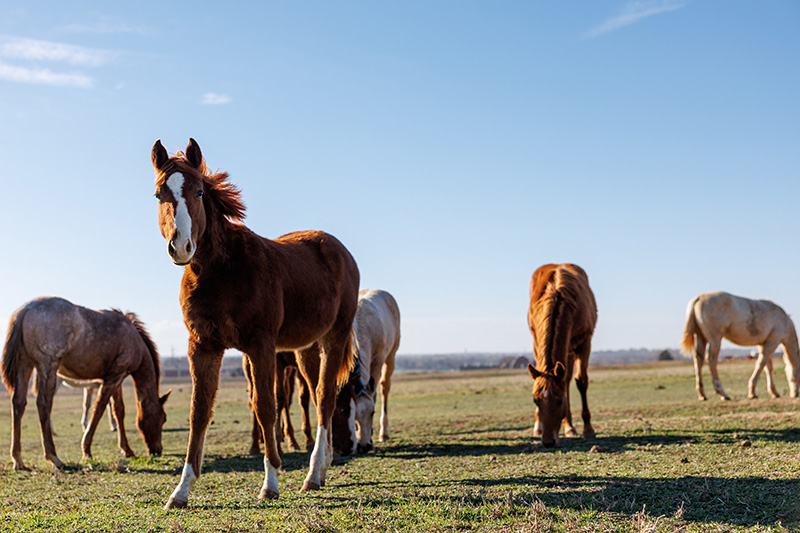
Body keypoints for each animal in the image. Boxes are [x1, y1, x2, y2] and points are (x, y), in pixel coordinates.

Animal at [1, 297, 170, 470]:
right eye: (163, 418)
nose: (157, 450)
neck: (133, 338)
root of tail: (25, 310)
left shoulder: (116, 378)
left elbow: (118, 411)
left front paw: (127, 449)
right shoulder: (114, 377)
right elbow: (99, 408)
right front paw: (87, 450)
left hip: (24, 365)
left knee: (19, 403)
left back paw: (18, 459)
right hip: (48, 368)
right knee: (43, 404)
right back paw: (53, 456)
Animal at [152, 139, 359, 509]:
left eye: (199, 192)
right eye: (159, 193)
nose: (181, 246)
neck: (222, 270)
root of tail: (337, 248)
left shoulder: (260, 346)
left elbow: (266, 407)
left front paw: (271, 483)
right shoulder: (203, 347)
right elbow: (199, 412)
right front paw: (181, 491)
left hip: (333, 338)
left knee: (324, 397)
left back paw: (312, 474)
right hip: (306, 349)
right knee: (318, 395)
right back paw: (322, 469)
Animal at [332, 289, 401, 456]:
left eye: (372, 413)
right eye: (354, 417)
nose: (364, 446)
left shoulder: (377, 360)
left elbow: (374, 394)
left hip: (391, 356)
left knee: (384, 388)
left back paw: (384, 433)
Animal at [526, 263, 597, 448]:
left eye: (559, 401)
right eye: (535, 400)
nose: (548, 442)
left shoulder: (584, 342)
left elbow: (581, 381)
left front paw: (588, 430)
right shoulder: (537, 342)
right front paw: (539, 425)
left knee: (568, 380)